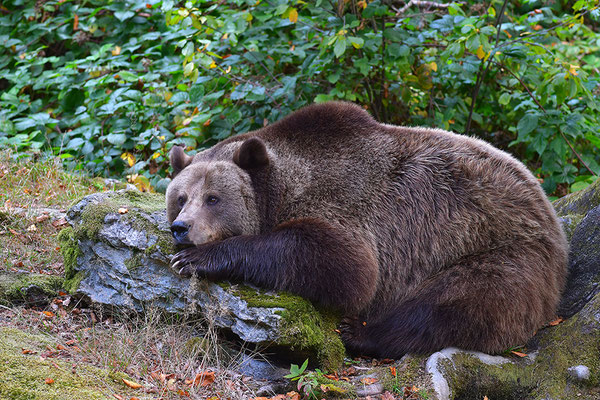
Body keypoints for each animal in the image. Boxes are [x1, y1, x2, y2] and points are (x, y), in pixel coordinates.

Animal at [166, 101, 568, 358]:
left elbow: (346, 264)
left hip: (501, 250)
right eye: (181, 197)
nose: (181, 228)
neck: (281, 191)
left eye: (213, 198)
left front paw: (197, 259)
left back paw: (359, 333)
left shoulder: (347, 204)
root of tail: (546, 208)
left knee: (451, 303)